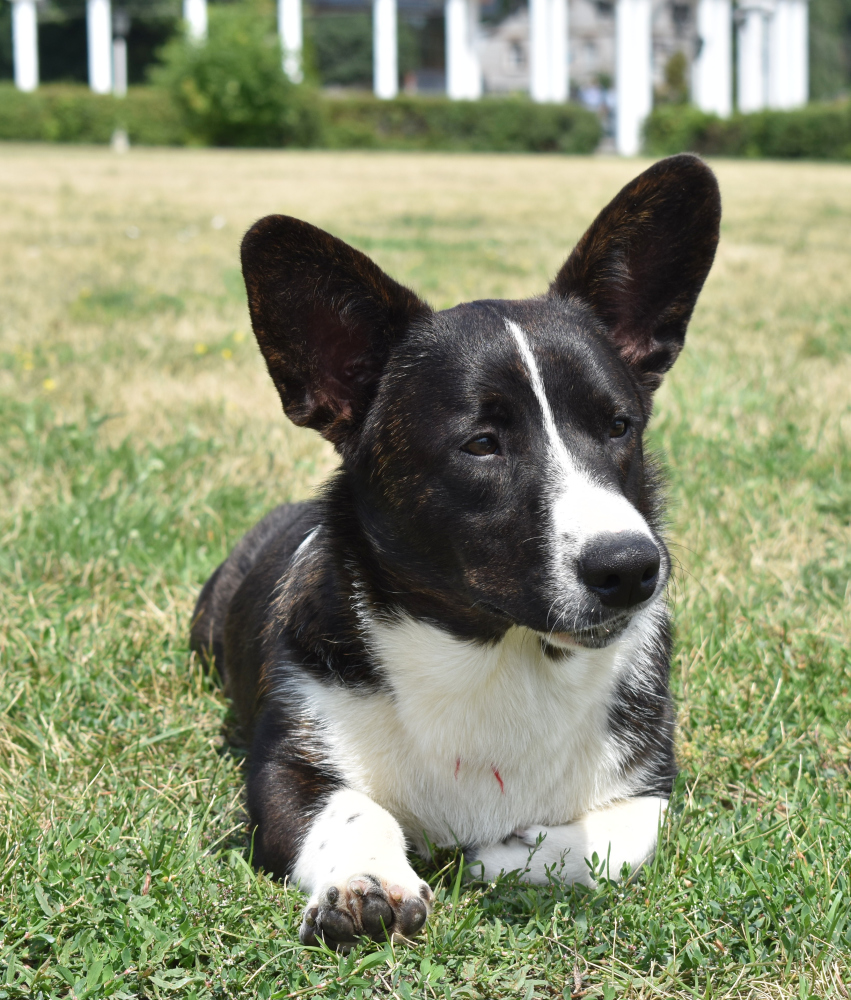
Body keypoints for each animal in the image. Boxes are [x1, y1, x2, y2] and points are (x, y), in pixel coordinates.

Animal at [191, 154, 720, 944]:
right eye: (481, 444)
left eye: (619, 426)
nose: (631, 570)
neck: (499, 655)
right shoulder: (286, 768)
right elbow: (350, 810)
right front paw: (366, 883)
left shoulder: (650, 785)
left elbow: (616, 840)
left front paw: (505, 854)